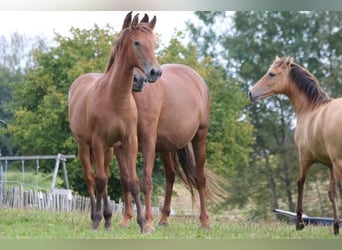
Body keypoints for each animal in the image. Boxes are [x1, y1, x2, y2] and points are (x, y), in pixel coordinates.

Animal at [69, 11, 162, 230]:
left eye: (154, 43)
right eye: (137, 42)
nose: (155, 72)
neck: (115, 99)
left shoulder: (129, 141)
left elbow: (132, 182)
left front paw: (142, 225)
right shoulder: (98, 141)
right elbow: (101, 181)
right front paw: (100, 221)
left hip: (109, 150)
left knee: (103, 176)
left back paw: (106, 218)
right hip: (84, 145)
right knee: (92, 179)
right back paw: (97, 217)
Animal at [115, 63, 227, 232]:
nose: (137, 80)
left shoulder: (148, 144)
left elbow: (146, 181)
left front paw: (147, 223)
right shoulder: (119, 147)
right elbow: (125, 180)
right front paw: (126, 220)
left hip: (199, 138)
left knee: (200, 179)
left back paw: (204, 222)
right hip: (165, 148)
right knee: (171, 176)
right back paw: (163, 219)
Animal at [248, 56, 342, 234]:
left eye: (272, 74)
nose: (251, 93)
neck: (310, 109)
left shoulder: (305, 158)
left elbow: (300, 183)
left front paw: (299, 223)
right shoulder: (330, 165)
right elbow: (332, 193)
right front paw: (335, 227)